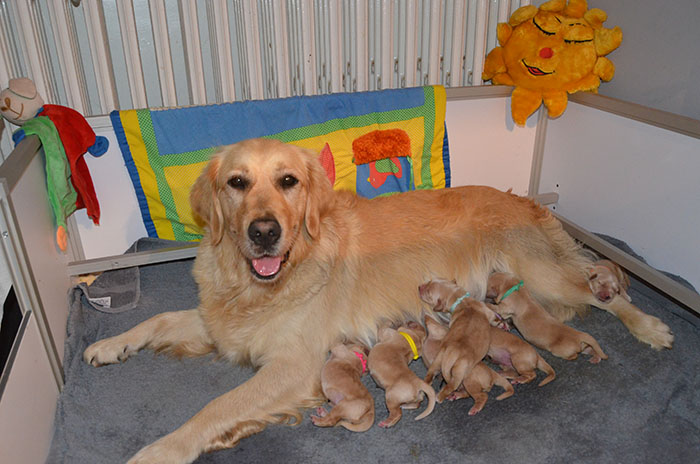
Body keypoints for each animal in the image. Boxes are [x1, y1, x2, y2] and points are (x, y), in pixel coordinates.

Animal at [82, 138, 672, 463]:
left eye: (288, 181)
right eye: (237, 182)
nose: (264, 232)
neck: (260, 281)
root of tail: (525, 198)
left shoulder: (295, 365)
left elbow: (215, 407)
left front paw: (163, 449)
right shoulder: (221, 322)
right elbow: (158, 319)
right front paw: (111, 345)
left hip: (543, 276)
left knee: (605, 295)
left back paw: (651, 326)